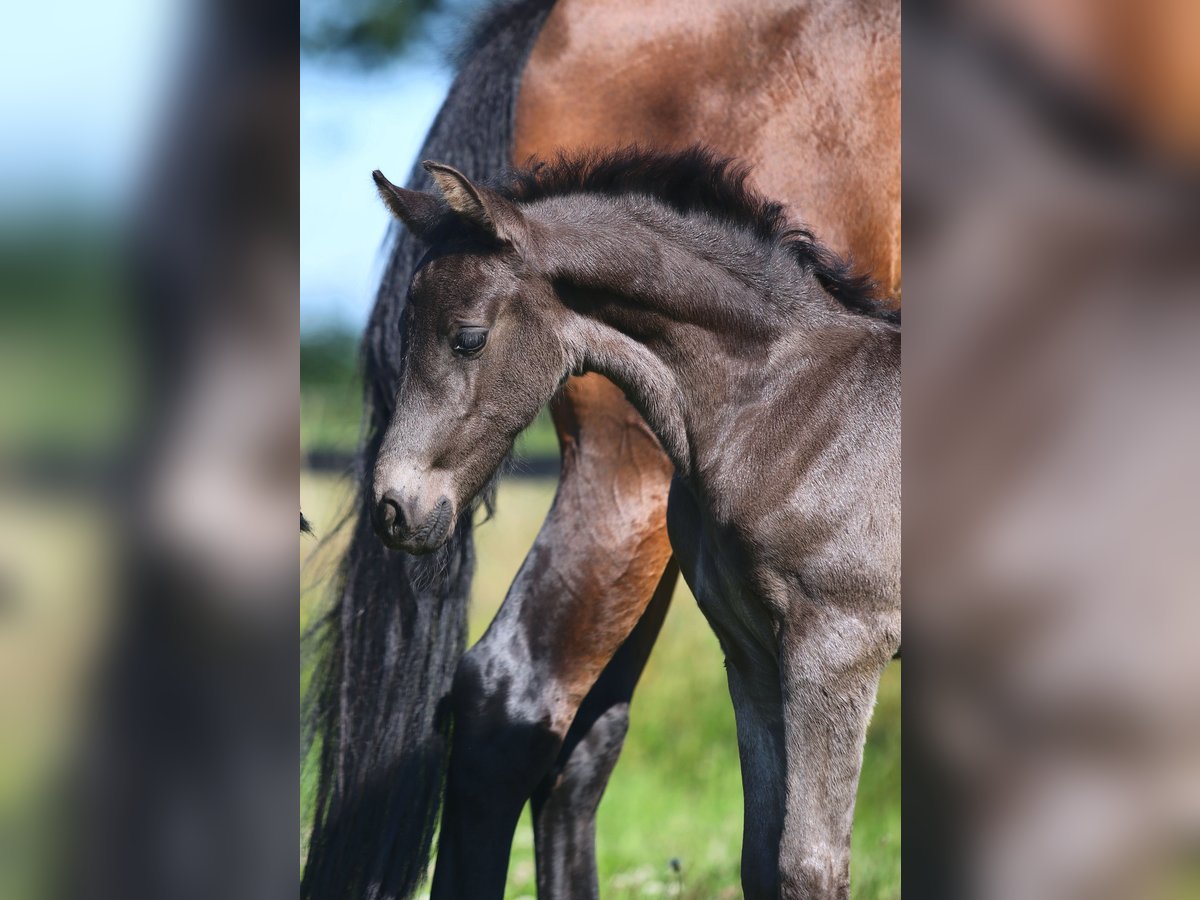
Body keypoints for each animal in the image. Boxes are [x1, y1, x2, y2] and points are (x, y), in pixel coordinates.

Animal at [304, 1, 897, 900]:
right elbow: (768, 856)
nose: (397, 507)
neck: (794, 394)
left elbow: (806, 864)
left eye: (468, 336)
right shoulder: (757, 652)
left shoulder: (838, 649)